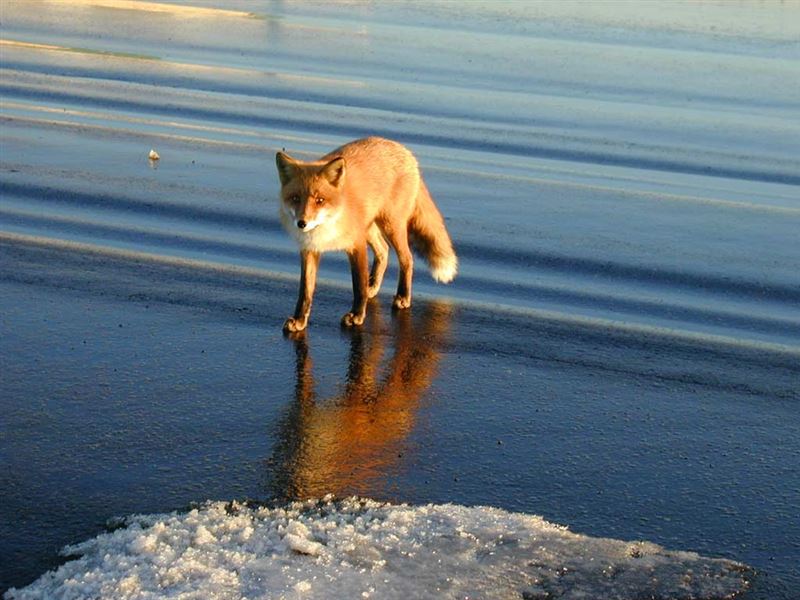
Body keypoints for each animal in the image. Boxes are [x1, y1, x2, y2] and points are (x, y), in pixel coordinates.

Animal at [276, 137, 456, 332]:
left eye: (320, 200)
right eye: (295, 198)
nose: (302, 223)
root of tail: (404, 149)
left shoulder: (356, 244)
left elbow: (358, 284)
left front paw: (356, 316)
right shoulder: (310, 250)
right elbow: (305, 291)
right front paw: (299, 320)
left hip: (391, 226)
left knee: (407, 259)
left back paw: (403, 297)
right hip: (370, 228)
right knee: (384, 251)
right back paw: (374, 286)